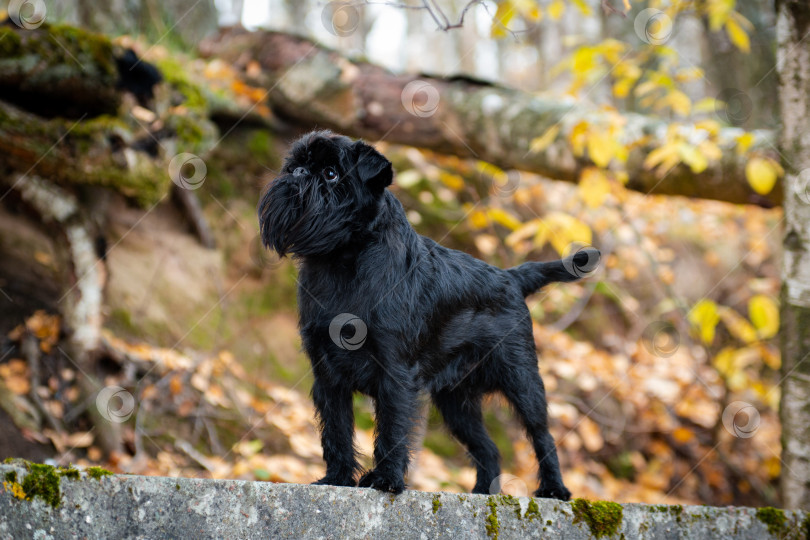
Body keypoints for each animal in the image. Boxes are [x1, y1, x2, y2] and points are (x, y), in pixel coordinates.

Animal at [260, 130, 600, 498]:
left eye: (331, 173)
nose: (298, 174)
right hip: (456, 401)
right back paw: (483, 492)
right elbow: (336, 430)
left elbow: (392, 430)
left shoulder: (395, 372)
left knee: (541, 434)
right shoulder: (327, 373)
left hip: (522, 380)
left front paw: (386, 479)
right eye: (294, 166)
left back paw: (554, 488)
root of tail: (511, 277)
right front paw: (336, 479)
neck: (342, 260)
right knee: (488, 448)